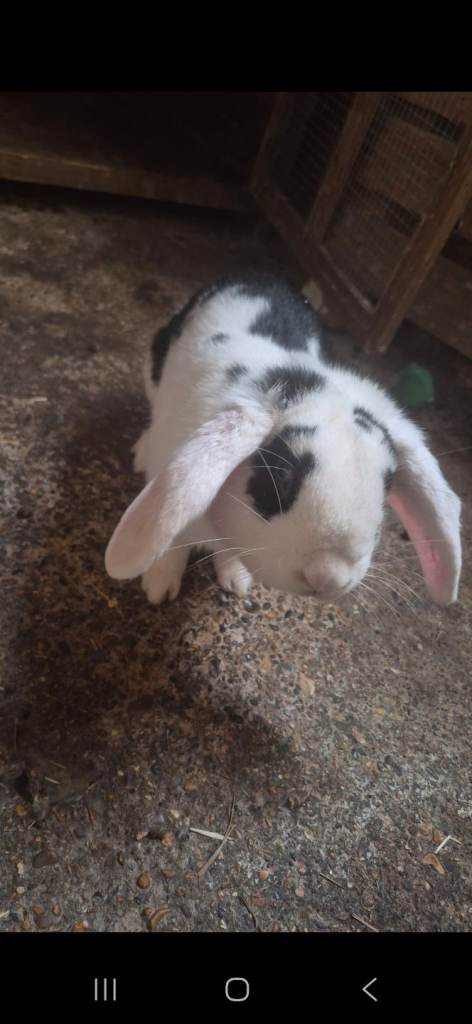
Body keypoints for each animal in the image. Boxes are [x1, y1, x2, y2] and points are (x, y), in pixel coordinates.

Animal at [105, 272, 462, 607]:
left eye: (387, 485)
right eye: (281, 476)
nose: (328, 577)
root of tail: (260, 276)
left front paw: (236, 579)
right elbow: (171, 544)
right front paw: (159, 587)